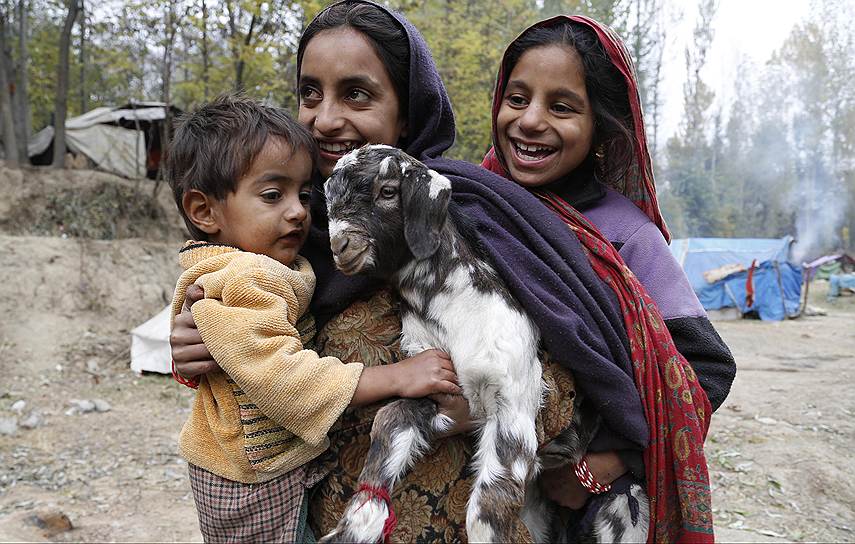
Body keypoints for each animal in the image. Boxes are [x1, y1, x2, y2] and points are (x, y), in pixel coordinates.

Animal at [320, 146, 648, 544]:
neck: (451, 310)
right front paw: (356, 527)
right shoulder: (432, 382)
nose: (340, 246)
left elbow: (484, 515)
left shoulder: (513, 403)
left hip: (622, 509)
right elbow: (388, 421)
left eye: (387, 191)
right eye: (327, 200)